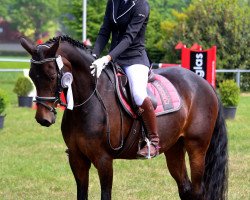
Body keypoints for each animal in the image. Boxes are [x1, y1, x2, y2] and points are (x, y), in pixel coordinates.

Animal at [20, 35, 229, 199]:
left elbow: (105, 195)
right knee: (185, 189)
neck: (89, 101)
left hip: (197, 147)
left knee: (198, 191)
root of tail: (203, 83)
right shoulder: (77, 159)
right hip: (174, 148)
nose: (43, 118)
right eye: (32, 75)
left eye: (51, 75)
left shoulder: (104, 160)